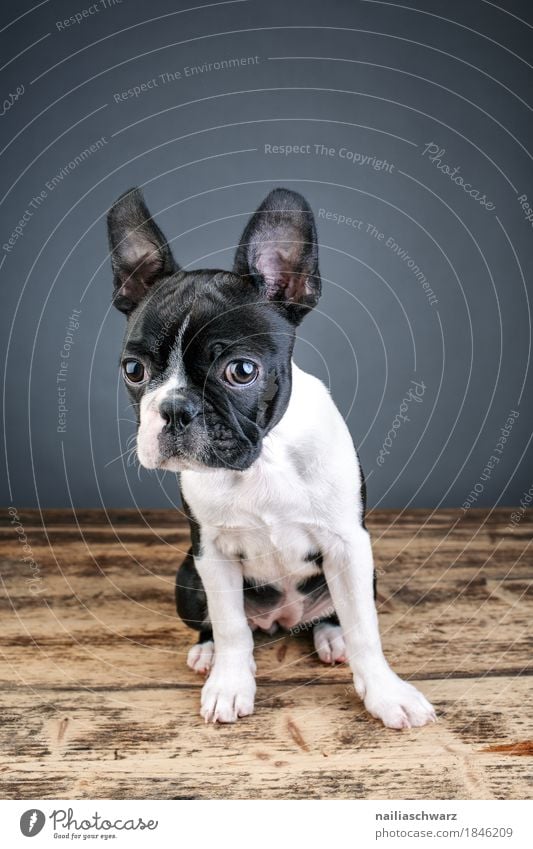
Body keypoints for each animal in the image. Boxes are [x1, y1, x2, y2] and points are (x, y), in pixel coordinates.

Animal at [108, 186, 436, 728]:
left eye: (242, 370)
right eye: (133, 370)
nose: (174, 408)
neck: (259, 460)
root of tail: (282, 620)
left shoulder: (349, 547)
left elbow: (366, 631)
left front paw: (387, 693)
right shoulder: (213, 553)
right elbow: (232, 628)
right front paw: (229, 683)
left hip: (362, 574)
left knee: (329, 616)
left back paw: (331, 638)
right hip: (187, 577)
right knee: (230, 624)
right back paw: (208, 652)